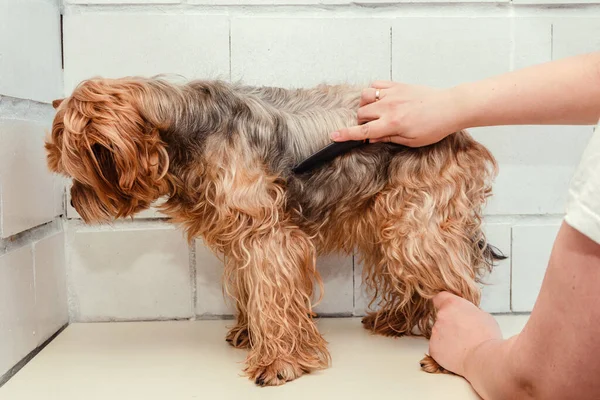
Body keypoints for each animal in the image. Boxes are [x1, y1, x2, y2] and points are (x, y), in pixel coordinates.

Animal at [47, 76, 504, 386]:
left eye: (79, 167)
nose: (74, 202)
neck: (187, 128)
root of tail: (461, 135)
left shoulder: (269, 238)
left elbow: (272, 297)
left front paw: (278, 362)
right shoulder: (241, 238)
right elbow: (251, 289)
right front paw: (249, 334)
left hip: (416, 226)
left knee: (455, 285)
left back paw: (449, 352)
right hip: (388, 222)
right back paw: (395, 321)